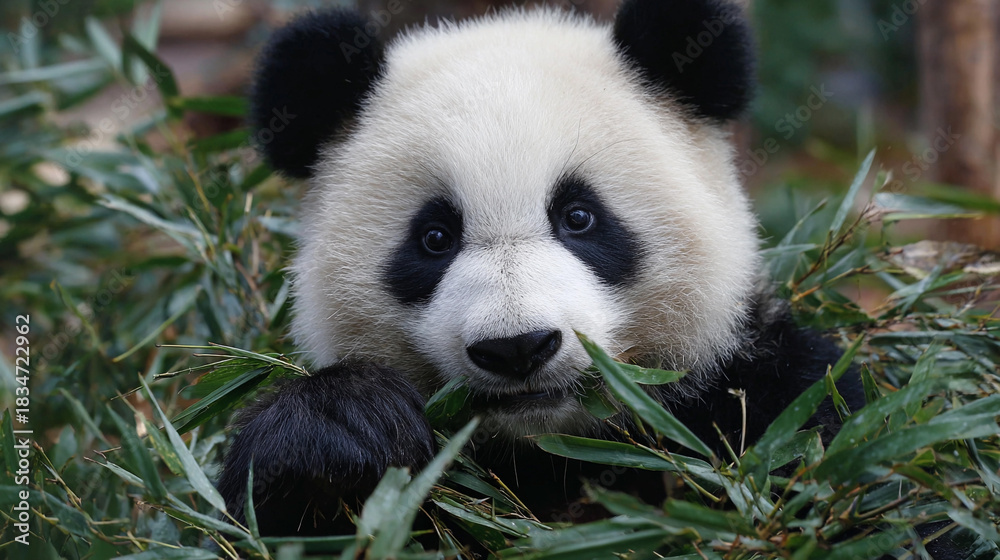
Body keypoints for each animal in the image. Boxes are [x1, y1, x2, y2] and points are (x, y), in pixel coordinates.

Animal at [217, 0, 867, 539]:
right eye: (434, 238)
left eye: (579, 216)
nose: (517, 347)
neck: (549, 446)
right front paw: (342, 430)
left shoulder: (761, 391)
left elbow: (822, 466)